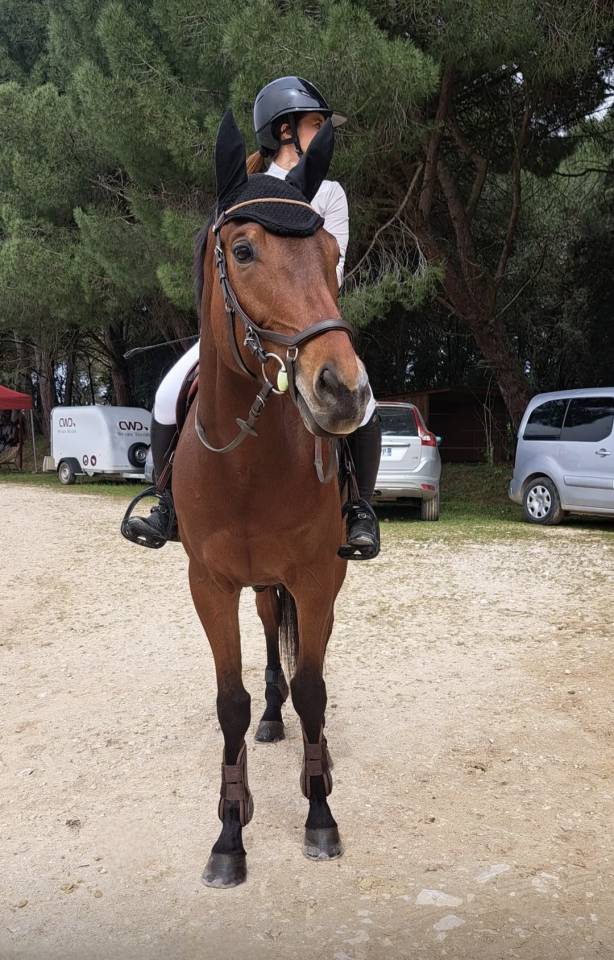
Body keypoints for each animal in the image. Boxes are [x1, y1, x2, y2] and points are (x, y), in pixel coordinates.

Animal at [172, 111, 371, 887]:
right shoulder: (210, 582)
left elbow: (316, 688)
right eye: (243, 249)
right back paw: (272, 716)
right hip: (257, 584)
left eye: (330, 252)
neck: (247, 463)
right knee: (266, 629)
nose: (342, 391)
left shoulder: (317, 576)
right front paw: (230, 833)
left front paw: (320, 814)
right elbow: (229, 702)